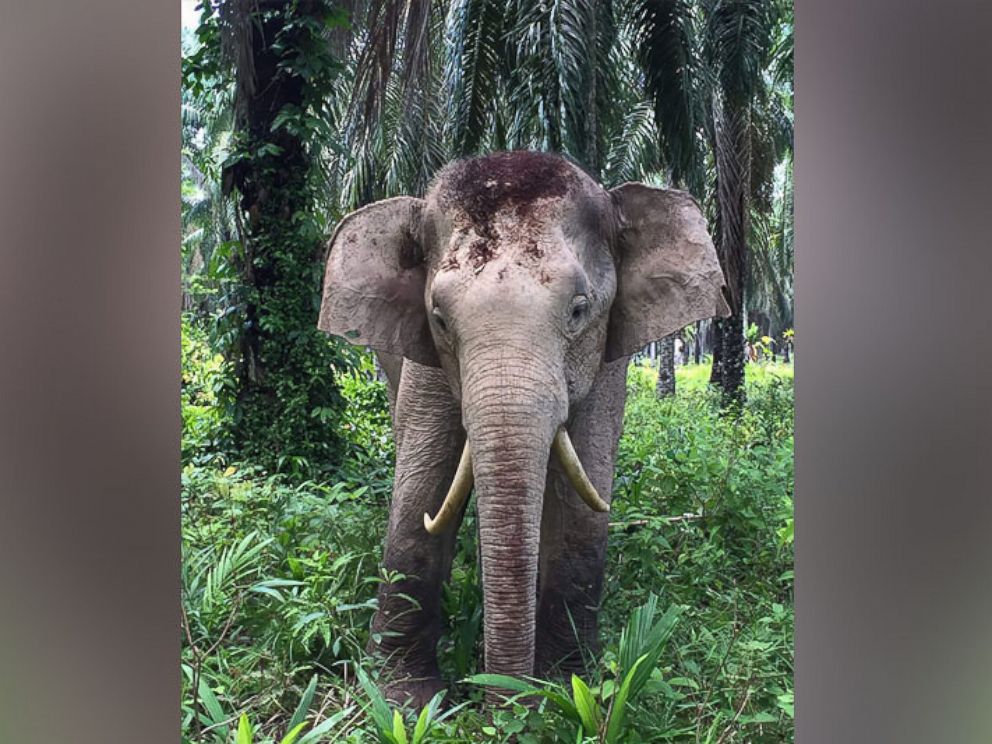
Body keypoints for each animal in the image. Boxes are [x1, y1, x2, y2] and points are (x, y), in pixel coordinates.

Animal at [318, 150, 728, 704]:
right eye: (439, 318)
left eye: (579, 310)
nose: (503, 704)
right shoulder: (426, 361)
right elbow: (421, 488)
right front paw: (404, 699)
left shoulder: (607, 355)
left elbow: (582, 491)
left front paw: (567, 687)